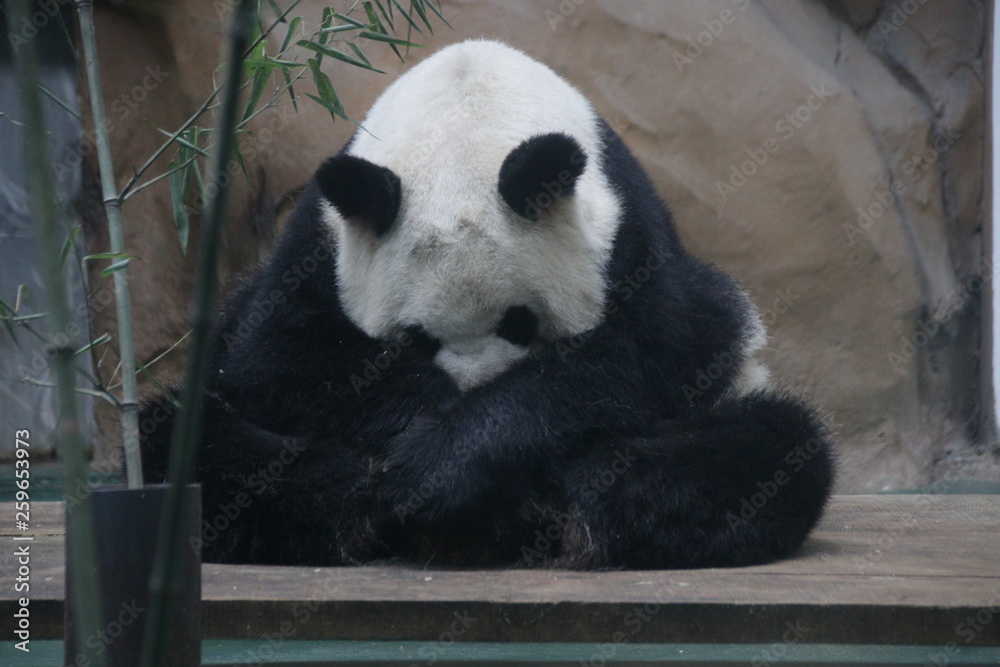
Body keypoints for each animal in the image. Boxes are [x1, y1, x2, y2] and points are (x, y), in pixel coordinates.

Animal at [140, 39, 834, 569]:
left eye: (521, 324)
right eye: (416, 339)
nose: (470, 391)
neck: (467, 104)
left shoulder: (630, 239)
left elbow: (654, 355)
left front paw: (455, 459)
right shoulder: (319, 246)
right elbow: (281, 358)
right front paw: (422, 444)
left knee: (764, 451)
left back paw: (568, 500)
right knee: (186, 446)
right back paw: (346, 493)